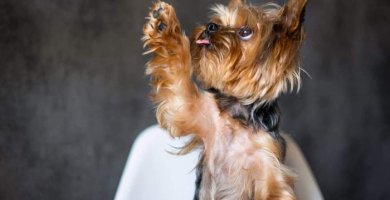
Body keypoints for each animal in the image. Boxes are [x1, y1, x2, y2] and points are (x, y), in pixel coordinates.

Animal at [142, 0, 306, 198]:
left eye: (245, 31)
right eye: (218, 22)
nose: (210, 26)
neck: (238, 114)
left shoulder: (269, 162)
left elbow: (275, 190)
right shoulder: (195, 113)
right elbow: (179, 75)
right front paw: (163, 25)